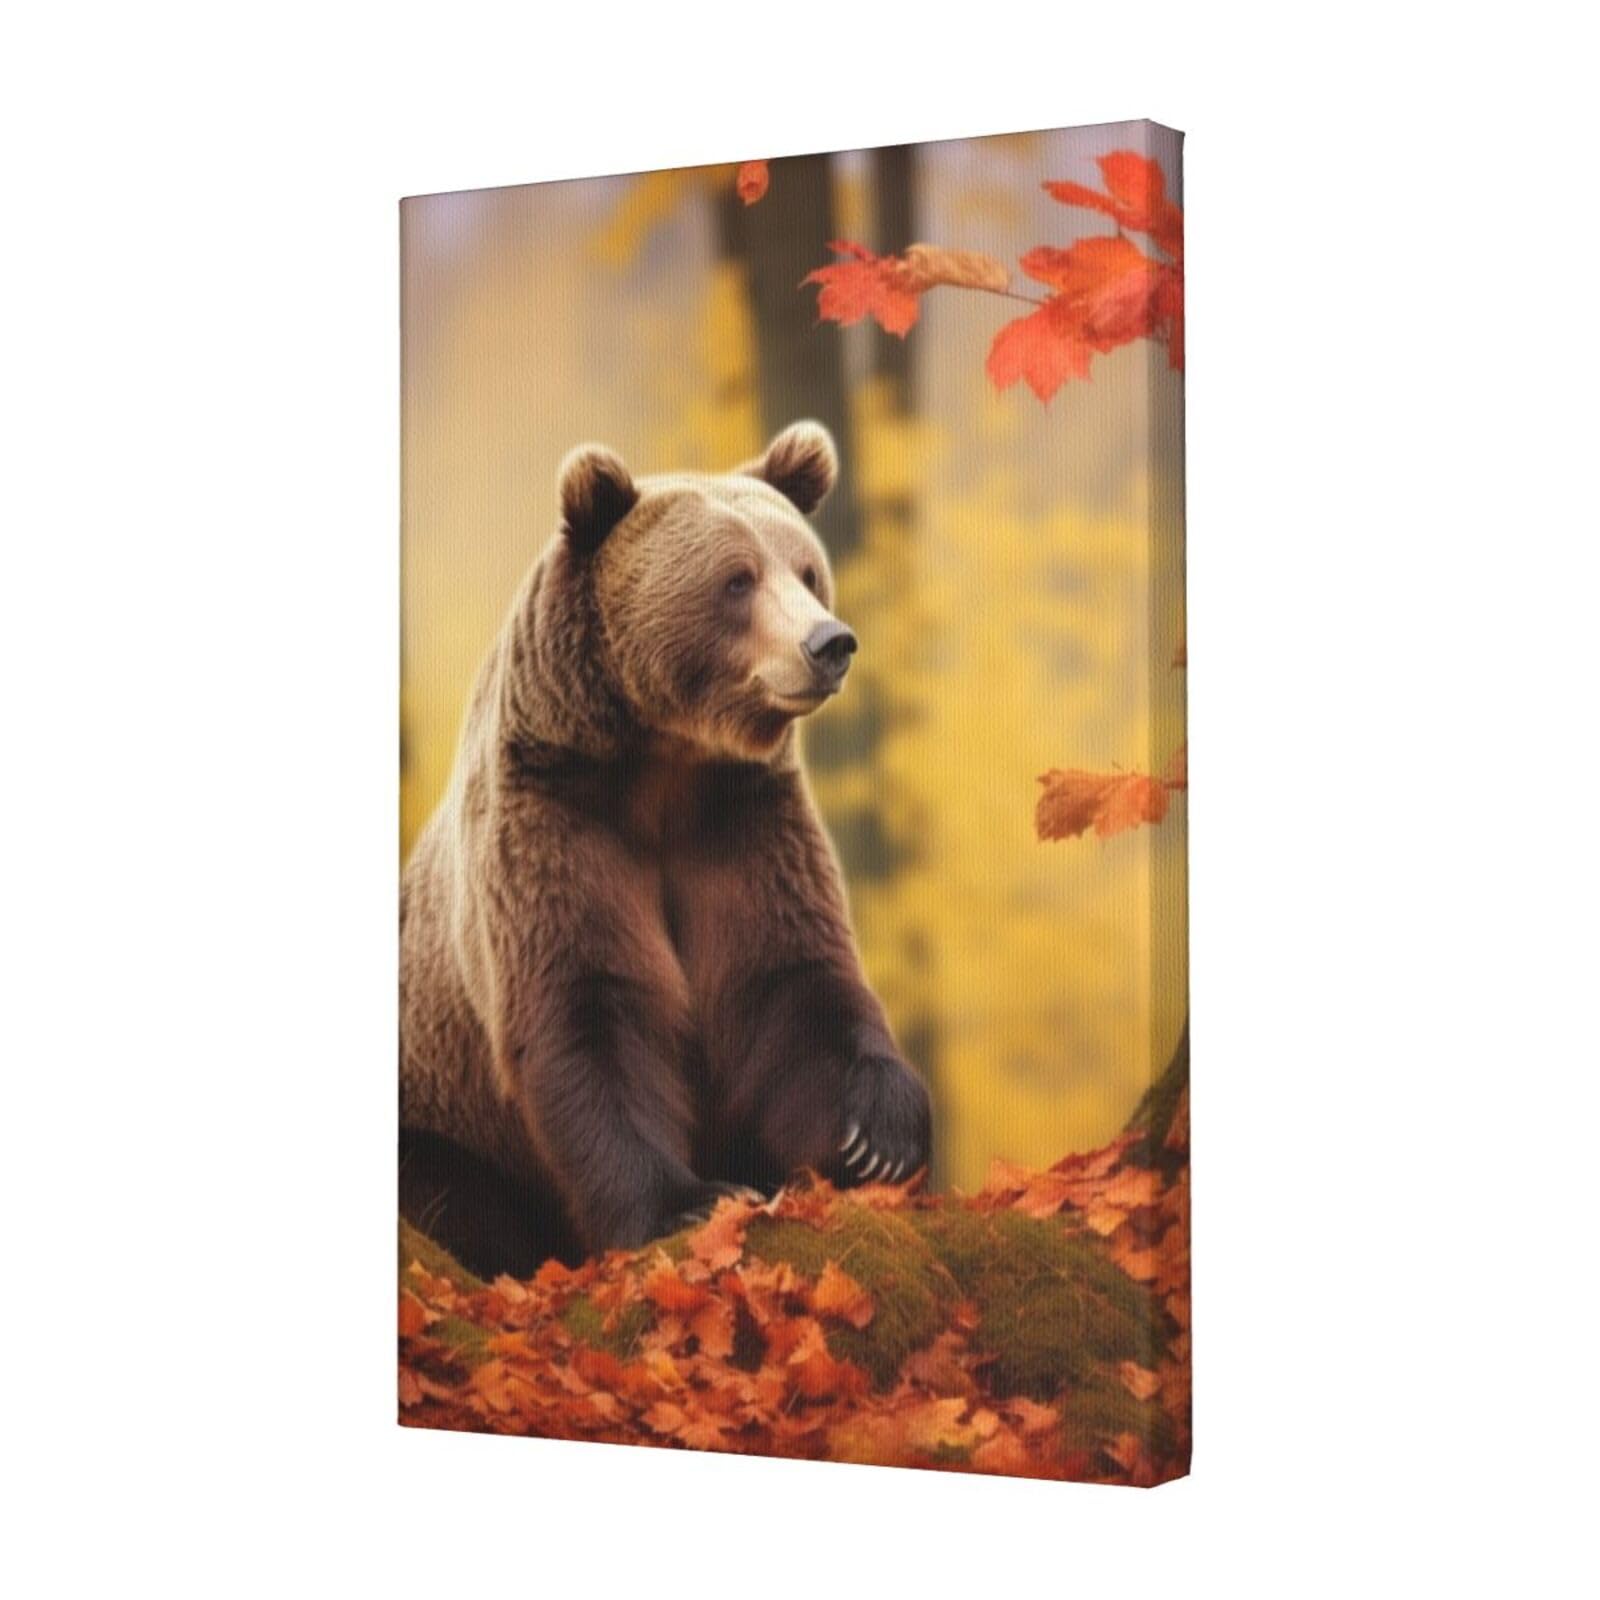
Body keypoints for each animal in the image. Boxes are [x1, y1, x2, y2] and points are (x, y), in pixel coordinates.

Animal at [400, 421, 932, 1277]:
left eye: (808, 572)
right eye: (737, 579)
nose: (830, 643)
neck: (664, 766)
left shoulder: (743, 829)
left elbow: (793, 982)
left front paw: (878, 1135)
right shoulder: (556, 826)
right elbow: (591, 1007)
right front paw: (690, 1200)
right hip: (438, 1122)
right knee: (458, 1201)